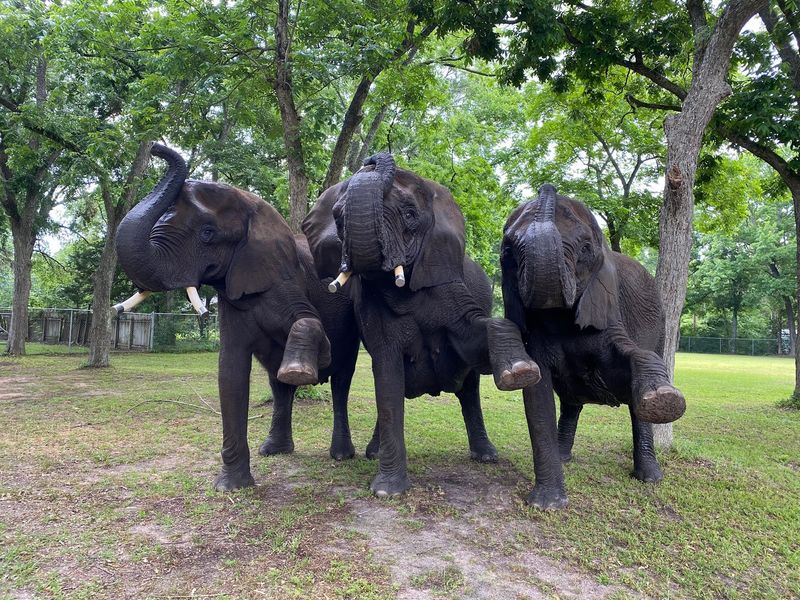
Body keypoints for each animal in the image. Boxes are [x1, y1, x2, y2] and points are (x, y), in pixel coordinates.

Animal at [115, 143, 363, 491]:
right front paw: (231, 487)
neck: (253, 209)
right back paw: (274, 450)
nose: (155, 147)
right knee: (277, 384)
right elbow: (230, 371)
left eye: (207, 233)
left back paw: (340, 455)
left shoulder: (285, 278)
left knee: (341, 381)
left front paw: (308, 365)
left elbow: (308, 322)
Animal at [302, 153, 540, 497]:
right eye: (338, 218)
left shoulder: (448, 283)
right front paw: (388, 492)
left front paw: (521, 372)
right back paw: (373, 452)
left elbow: (473, 338)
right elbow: (386, 374)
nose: (373, 158)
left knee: (470, 390)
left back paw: (486, 456)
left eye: (410, 215)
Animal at [499, 183, 686, 509]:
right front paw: (547, 505)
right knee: (571, 401)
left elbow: (628, 361)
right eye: (508, 252)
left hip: (662, 325)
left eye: (586, 248)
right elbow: (536, 392)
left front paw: (664, 399)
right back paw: (564, 457)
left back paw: (649, 477)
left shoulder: (608, 306)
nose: (548, 186)